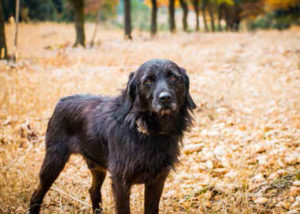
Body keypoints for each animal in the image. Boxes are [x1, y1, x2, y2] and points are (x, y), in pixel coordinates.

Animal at [29, 59, 196, 214]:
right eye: (148, 80)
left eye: (173, 77)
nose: (165, 98)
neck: (150, 132)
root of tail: (61, 101)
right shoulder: (120, 182)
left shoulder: (157, 180)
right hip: (53, 162)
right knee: (36, 194)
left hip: (97, 167)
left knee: (93, 192)